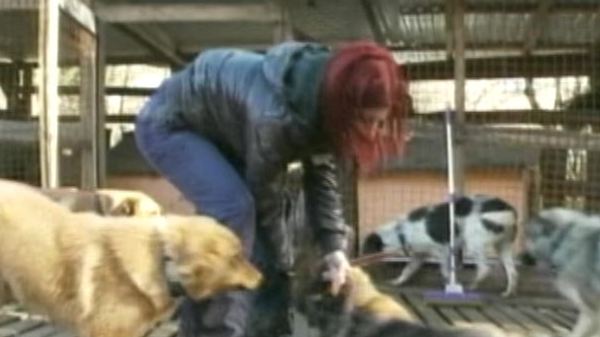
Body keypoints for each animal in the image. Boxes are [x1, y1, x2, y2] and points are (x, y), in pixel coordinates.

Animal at [364, 193, 516, 296]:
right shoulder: (419, 256)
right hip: (503, 246)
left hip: (474, 243)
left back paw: (471, 286)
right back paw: (508, 293)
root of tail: (507, 207)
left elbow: (444, 270)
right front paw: (397, 282)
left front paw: (450, 285)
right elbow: (407, 270)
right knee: (512, 272)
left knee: (485, 269)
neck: (400, 232)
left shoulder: (443, 250)